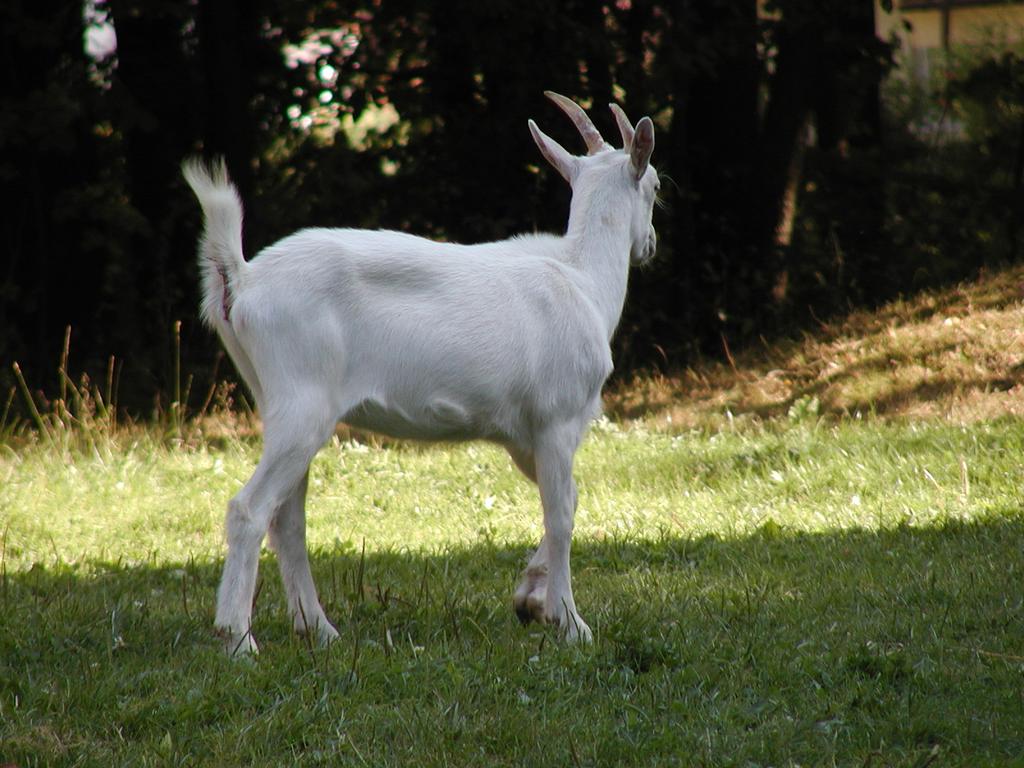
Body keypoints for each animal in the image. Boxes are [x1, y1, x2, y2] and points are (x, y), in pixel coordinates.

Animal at [184, 91, 659, 655]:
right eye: (656, 186)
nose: (650, 243)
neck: (583, 278)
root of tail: (241, 281)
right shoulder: (558, 419)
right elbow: (562, 513)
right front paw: (569, 622)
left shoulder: (523, 435)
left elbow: (565, 500)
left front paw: (528, 599)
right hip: (303, 400)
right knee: (249, 510)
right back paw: (239, 639)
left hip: (275, 399)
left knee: (287, 518)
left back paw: (319, 629)